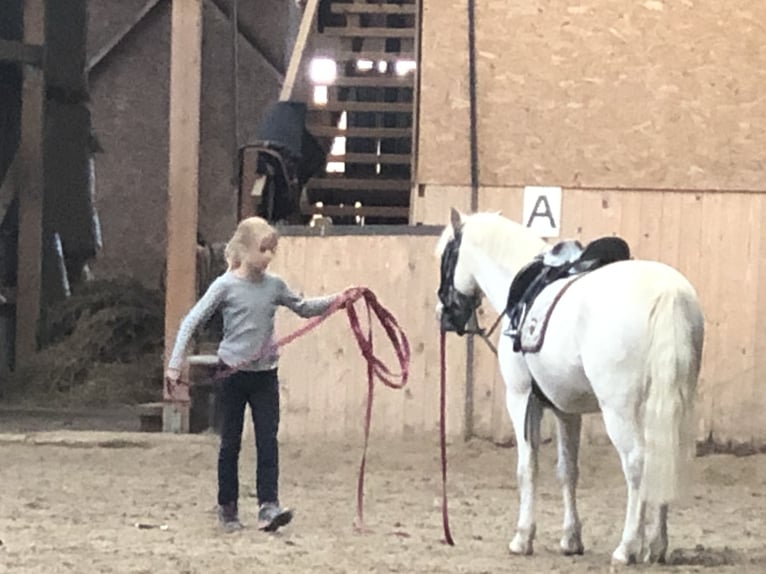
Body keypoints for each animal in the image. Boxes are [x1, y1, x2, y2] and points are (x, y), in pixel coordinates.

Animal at [436, 210, 704, 568]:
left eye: (446, 258)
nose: (445, 316)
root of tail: (668, 293)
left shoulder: (521, 398)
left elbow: (527, 467)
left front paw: (522, 538)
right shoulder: (566, 410)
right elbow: (568, 471)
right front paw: (571, 540)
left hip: (619, 409)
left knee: (637, 463)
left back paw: (627, 547)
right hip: (671, 402)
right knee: (665, 456)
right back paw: (657, 546)